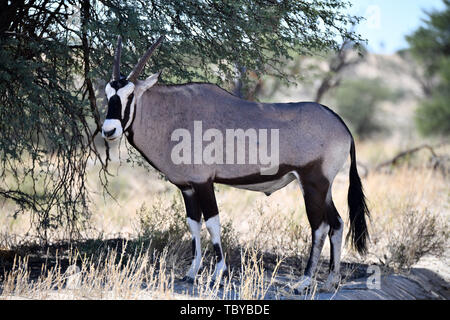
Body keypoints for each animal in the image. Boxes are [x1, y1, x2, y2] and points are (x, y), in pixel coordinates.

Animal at [102, 35, 370, 292]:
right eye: (107, 95)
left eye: (130, 95)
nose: (108, 130)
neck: (173, 115)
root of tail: (341, 124)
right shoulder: (187, 187)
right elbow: (193, 224)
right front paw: (191, 273)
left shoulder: (203, 183)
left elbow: (213, 223)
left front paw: (217, 274)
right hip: (324, 187)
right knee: (337, 223)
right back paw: (330, 281)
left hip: (313, 183)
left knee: (320, 226)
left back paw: (303, 282)